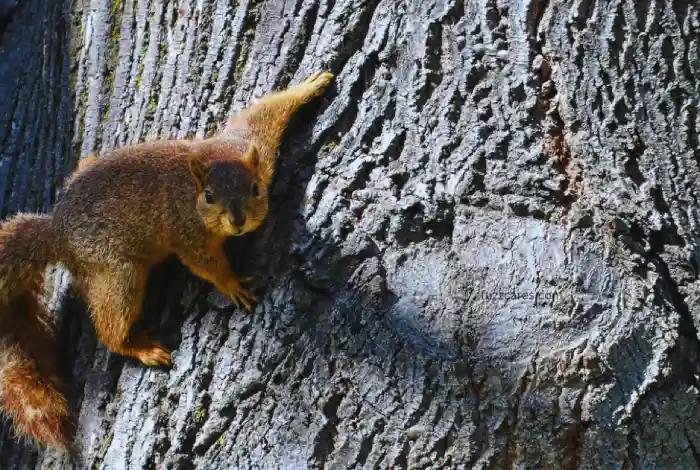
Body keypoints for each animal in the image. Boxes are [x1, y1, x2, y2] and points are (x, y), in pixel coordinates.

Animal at [0, 71, 336, 450]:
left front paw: (310, 86)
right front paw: (232, 284)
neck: (191, 189)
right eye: (209, 196)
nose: (238, 221)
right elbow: (204, 263)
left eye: (254, 189)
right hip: (118, 274)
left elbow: (264, 114)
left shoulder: (251, 147)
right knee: (110, 326)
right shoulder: (186, 233)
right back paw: (139, 348)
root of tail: (56, 231)